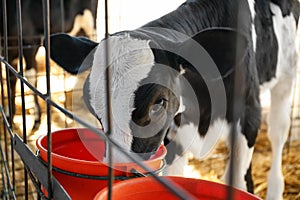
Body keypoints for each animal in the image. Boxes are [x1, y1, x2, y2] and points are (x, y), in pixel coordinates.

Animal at [48, 0, 298, 199]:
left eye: (158, 103)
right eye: (93, 108)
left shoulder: (248, 116)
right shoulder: (173, 133)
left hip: (286, 77)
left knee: (278, 131)